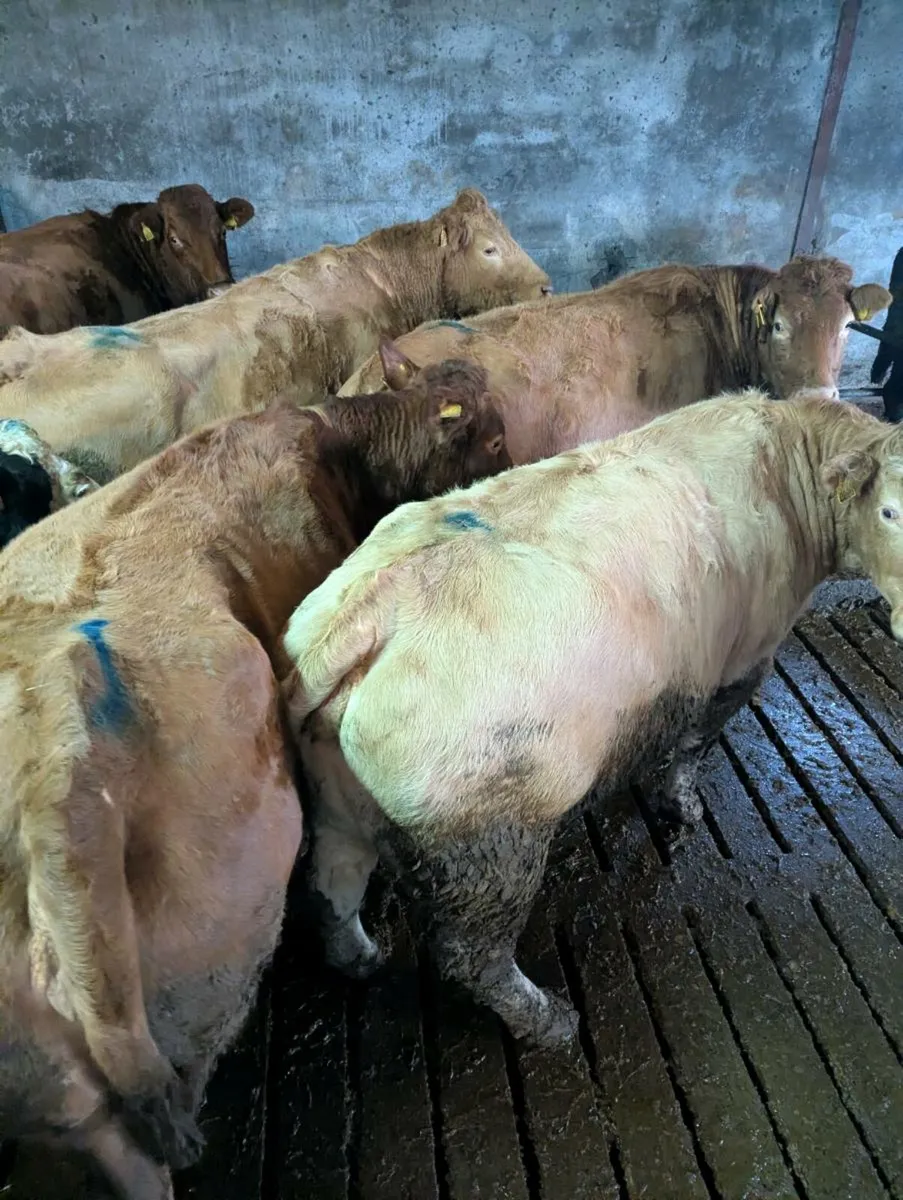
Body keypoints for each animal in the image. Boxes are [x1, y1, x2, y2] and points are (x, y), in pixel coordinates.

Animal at [281, 390, 903, 1050]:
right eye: (888, 511)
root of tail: (377, 605)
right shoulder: (741, 664)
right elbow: (695, 746)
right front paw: (682, 807)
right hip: (492, 838)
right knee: (471, 957)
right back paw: (549, 1021)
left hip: (338, 797)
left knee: (331, 890)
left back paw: (360, 958)